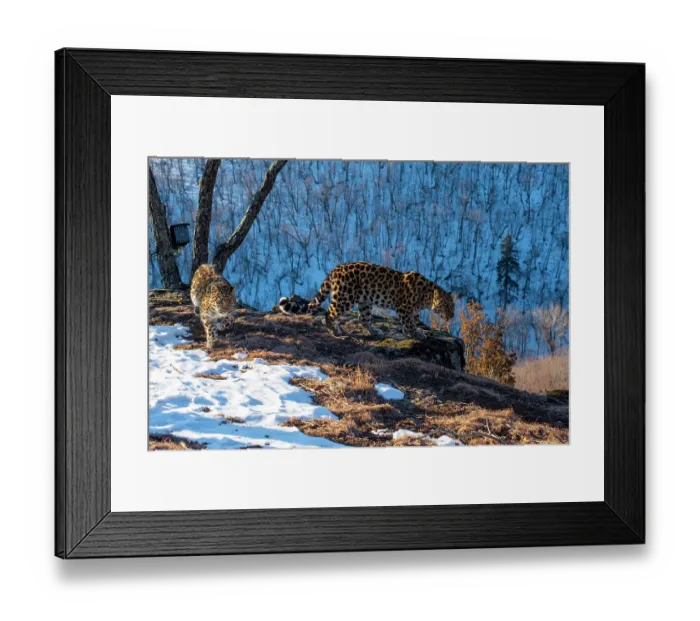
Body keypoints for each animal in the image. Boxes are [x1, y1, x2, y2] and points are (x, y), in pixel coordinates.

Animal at [279, 262, 455, 339]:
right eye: (446, 306)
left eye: (453, 306)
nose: (452, 316)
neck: (426, 296)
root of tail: (335, 269)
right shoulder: (404, 308)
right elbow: (409, 322)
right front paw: (416, 333)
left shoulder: (410, 311)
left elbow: (410, 322)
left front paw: (410, 332)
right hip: (345, 298)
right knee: (329, 313)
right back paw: (335, 331)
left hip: (365, 301)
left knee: (363, 319)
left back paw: (375, 331)